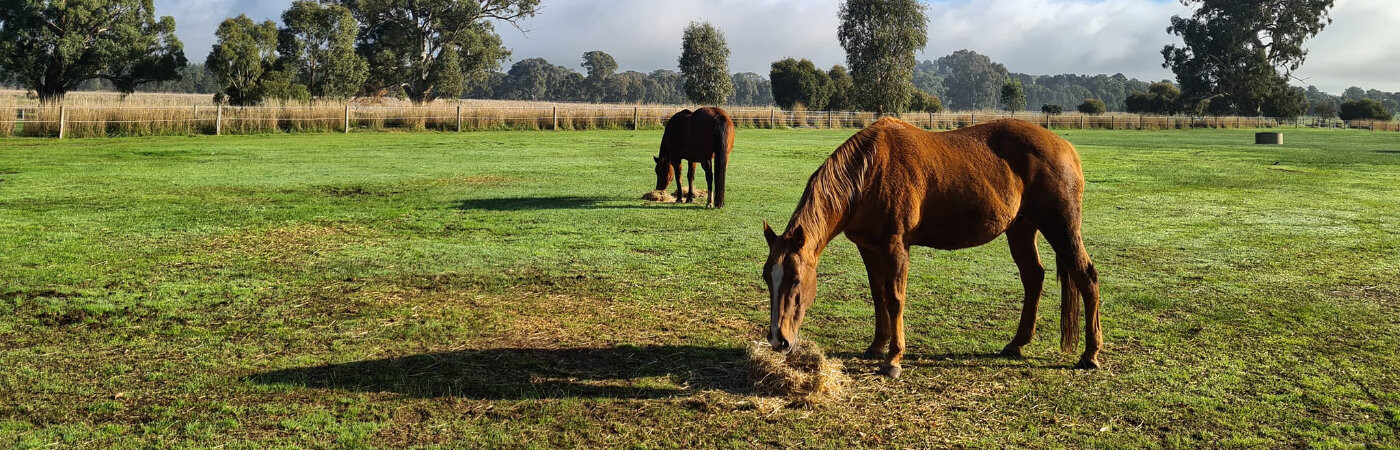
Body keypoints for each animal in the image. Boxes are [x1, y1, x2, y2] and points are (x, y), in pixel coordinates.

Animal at [767, 116, 1103, 375]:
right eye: (767, 279)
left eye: (795, 280)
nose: (778, 340)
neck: (870, 170)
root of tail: (1066, 149)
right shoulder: (868, 248)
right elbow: (878, 296)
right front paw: (877, 346)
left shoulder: (895, 246)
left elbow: (895, 299)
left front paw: (893, 359)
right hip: (1021, 229)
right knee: (1034, 278)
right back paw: (1017, 344)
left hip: (1061, 229)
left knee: (1086, 277)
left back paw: (1090, 354)